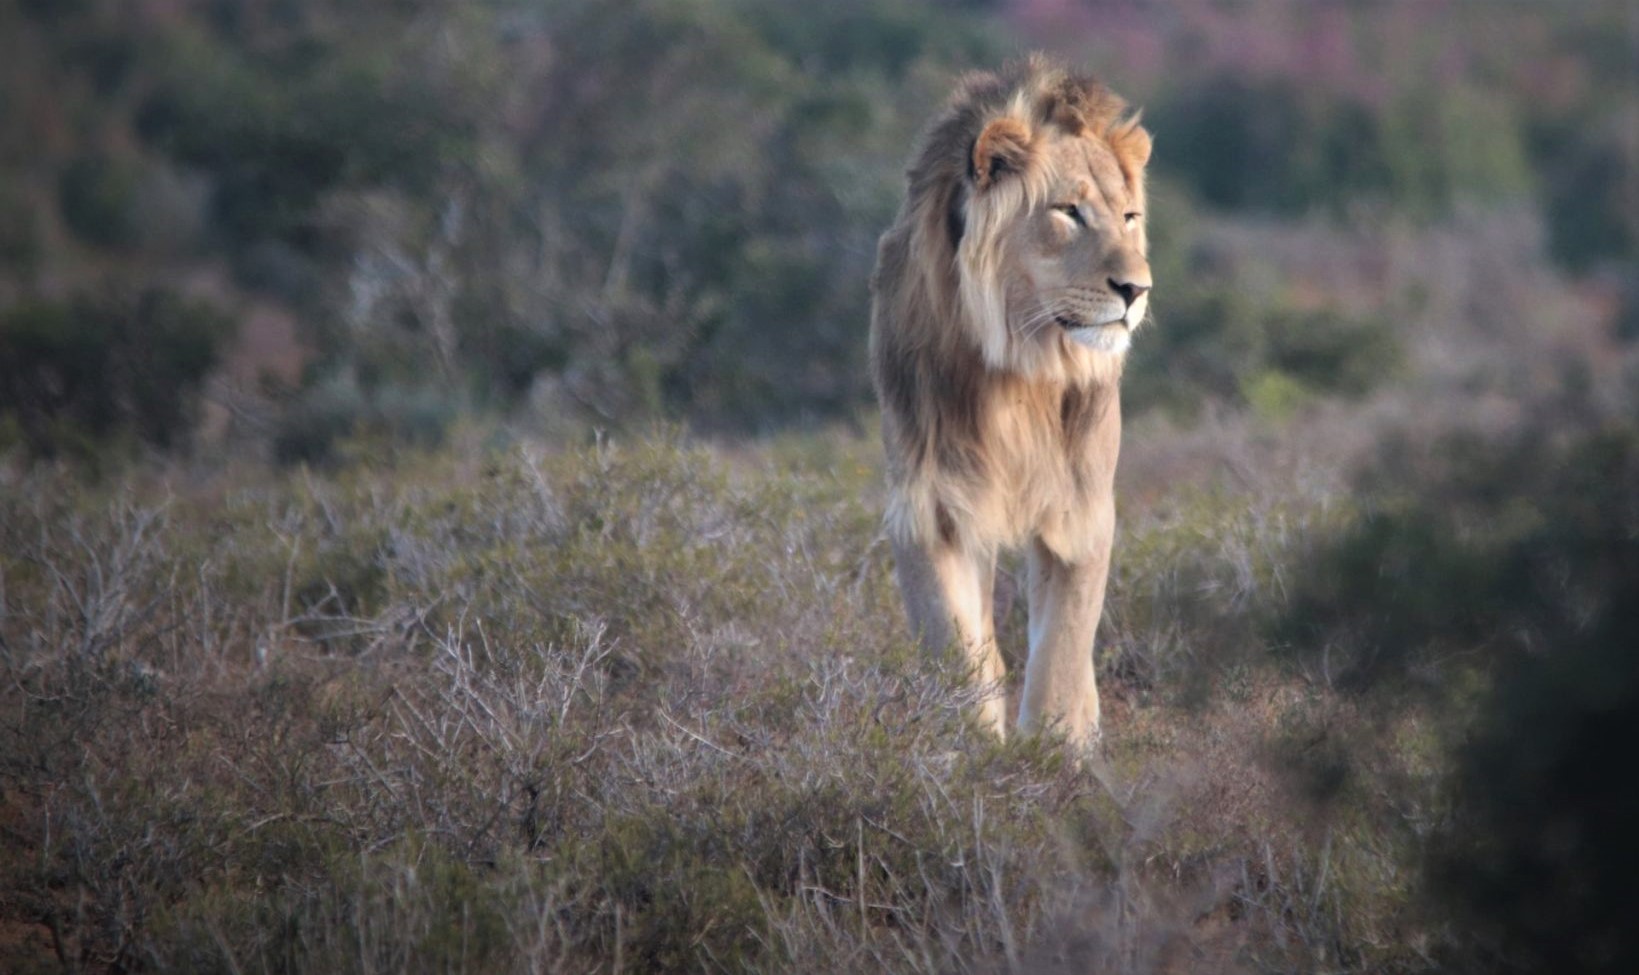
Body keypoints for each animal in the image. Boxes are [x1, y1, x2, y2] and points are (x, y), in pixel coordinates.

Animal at [871, 55, 1153, 747]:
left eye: (1129, 217)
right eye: (1069, 211)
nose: (1137, 289)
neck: (1020, 366)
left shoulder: (1082, 511)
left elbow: (1061, 655)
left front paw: (1053, 758)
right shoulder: (927, 506)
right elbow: (958, 651)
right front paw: (970, 754)